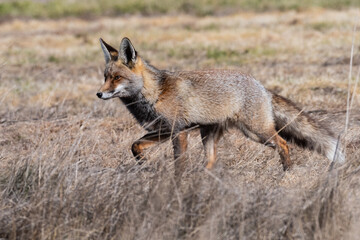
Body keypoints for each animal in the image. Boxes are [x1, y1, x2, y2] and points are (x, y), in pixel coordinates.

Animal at [97, 37, 344, 172]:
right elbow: (135, 145)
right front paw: (144, 165)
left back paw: (287, 173)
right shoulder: (163, 131)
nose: (99, 93)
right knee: (211, 162)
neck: (155, 94)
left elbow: (179, 165)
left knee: (283, 144)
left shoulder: (178, 132)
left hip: (256, 132)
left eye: (117, 78)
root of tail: (262, 86)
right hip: (210, 134)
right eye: (105, 76)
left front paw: (176, 186)